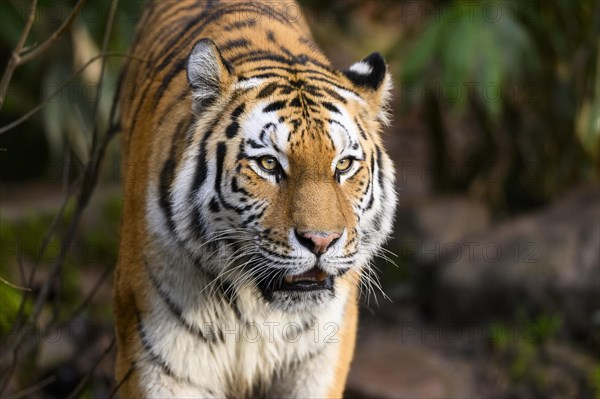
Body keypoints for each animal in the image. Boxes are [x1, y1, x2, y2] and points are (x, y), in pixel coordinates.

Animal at [113, 0, 398, 396]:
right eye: (268, 164)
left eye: (343, 165)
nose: (321, 241)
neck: (256, 312)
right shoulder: (160, 362)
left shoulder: (318, 360)